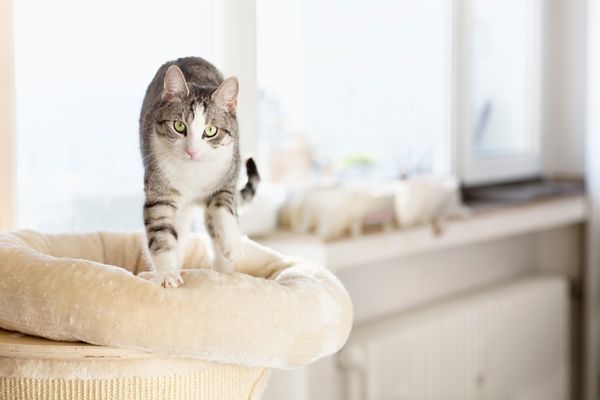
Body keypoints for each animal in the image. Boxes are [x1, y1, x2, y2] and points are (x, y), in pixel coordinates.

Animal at [139, 56, 258, 288]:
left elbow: (223, 207)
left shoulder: (227, 177)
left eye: (210, 131)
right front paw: (167, 275)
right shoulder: (159, 193)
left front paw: (232, 243)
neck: (193, 172)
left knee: (213, 226)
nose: (192, 151)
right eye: (179, 126)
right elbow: (161, 232)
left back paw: (224, 271)